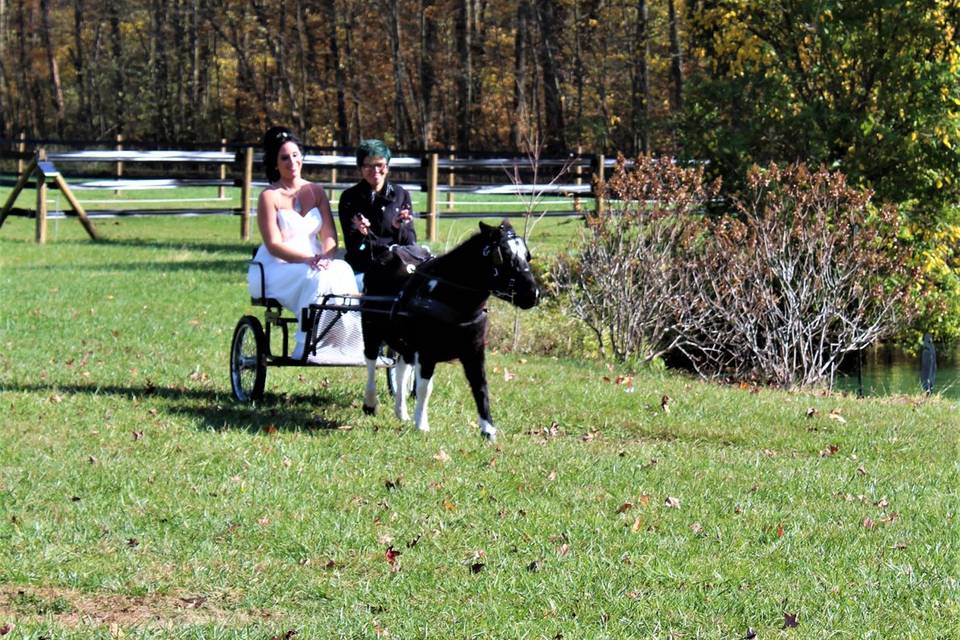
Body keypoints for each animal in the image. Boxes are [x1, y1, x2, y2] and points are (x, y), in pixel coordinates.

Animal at [360, 220, 540, 440]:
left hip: (405, 344)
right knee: (370, 362)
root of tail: (387, 253)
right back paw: (370, 403)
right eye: (502, 255)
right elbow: (424, 388)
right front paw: (422, 425)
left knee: (401, 371)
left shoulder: (474, 351)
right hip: (371, 329)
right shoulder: (427, 352)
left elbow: (480, 386)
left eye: (527, 255)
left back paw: (401, 412)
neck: (447, 295)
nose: (533, 294)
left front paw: (488, 429)